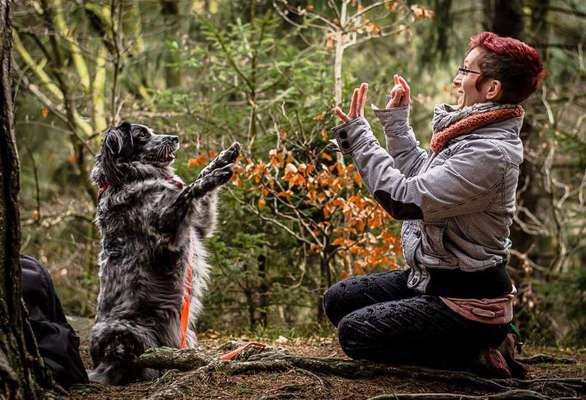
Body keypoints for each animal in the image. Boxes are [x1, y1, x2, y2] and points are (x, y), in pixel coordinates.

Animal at [87, 122, 237, 384]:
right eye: (142, 134)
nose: (175, 138)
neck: (129, 178)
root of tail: (100, 365)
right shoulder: (167, 227)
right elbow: (188, 190)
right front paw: (216, 175)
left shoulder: (199, 225)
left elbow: (196, 180)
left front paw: (223, 157)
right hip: (129, 332)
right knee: (135, 363)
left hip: (185, 334)